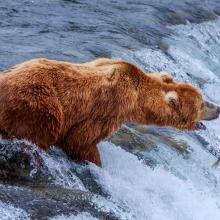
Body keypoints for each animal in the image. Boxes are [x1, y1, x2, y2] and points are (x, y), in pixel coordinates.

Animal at [0, 57, 218, 166]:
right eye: (201, 105)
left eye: (203, 98)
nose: (217, 108)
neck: (137, 99)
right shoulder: (109, 107)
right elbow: (80, 140)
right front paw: (95, 160)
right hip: (38, 107)